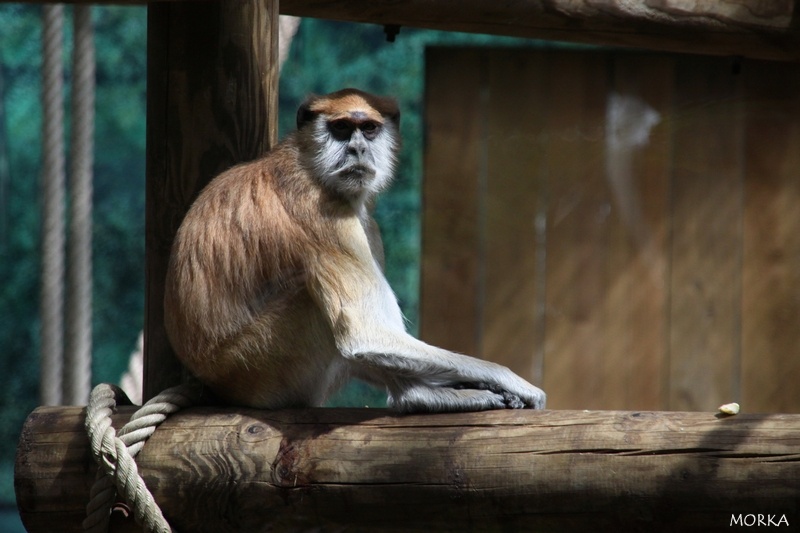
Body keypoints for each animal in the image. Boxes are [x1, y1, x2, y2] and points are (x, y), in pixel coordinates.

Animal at [166, 88, 548, 412]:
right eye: (340, 128)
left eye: (369, 129)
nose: (357, 150)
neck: (309, 164)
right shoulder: (324, 213)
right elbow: (364, 335)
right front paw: (508, 378)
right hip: (260, 368)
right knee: (312, 299)